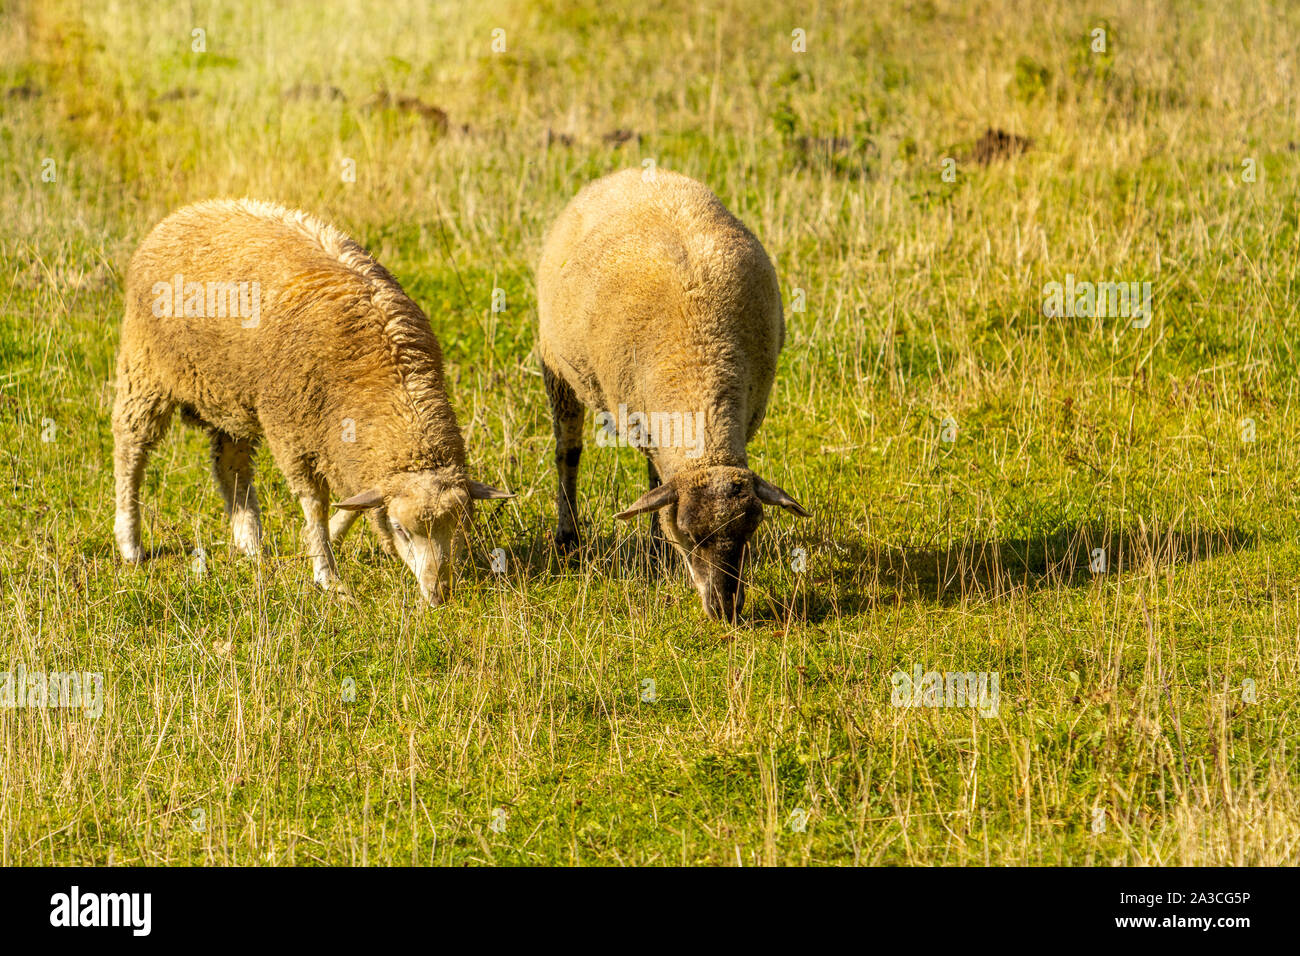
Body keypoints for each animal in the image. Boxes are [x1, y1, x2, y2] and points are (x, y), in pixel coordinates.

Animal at [112, 198, 512, 605]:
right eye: (401, 529)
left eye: (462, 525)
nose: (438, 593)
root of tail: (184, 213)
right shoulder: (291, 433)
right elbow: (314, 504)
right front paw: (326, 572)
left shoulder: (344, 445)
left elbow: (351, 500)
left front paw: (328, 538)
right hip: (144, 372)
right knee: (131, 453)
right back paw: (130, 542)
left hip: (232, 397)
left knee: (231, 467)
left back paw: (250, 543)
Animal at [536, 168, 808, 622]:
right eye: (692, 534)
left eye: (750, 531)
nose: (725, 608)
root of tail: (634, 171)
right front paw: (659, 548)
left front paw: (658, 546)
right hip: (556, 365)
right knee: (567, 453)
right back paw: (568, 535)